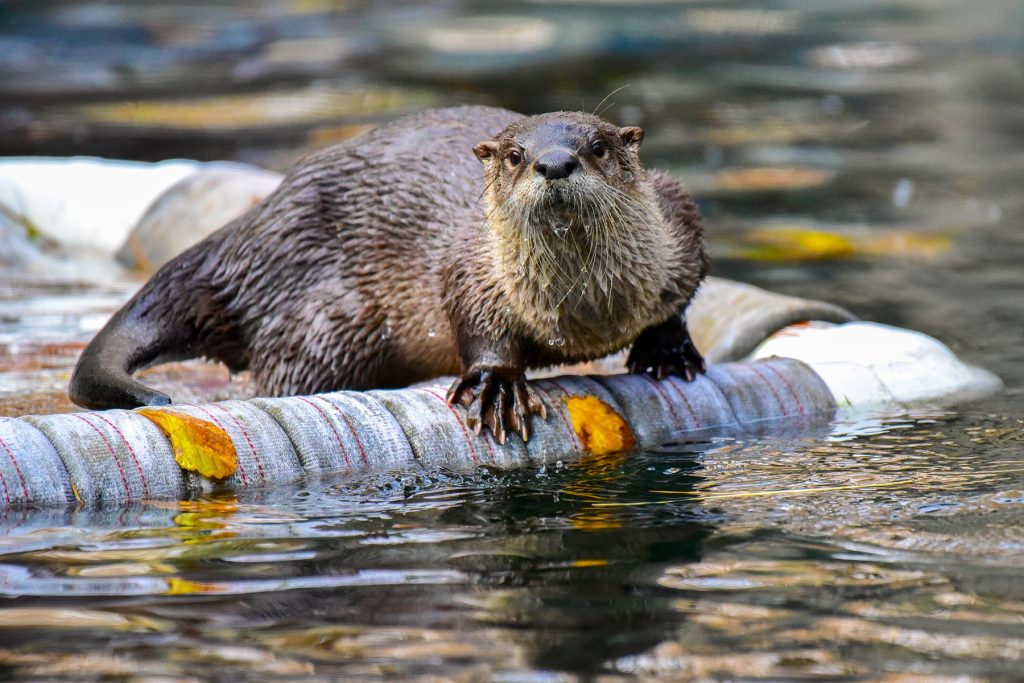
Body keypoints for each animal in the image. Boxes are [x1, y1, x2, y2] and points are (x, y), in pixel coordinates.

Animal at [69, 106, 707, 443]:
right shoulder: (471, 264)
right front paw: (497, 386)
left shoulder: (679, 221)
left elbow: (680, 294)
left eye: (597, 146)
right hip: (323, 325)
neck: (586, 314)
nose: (553, 162)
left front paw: (669, 350)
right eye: (515, 156)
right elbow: (475, 320)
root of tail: (251, 240)